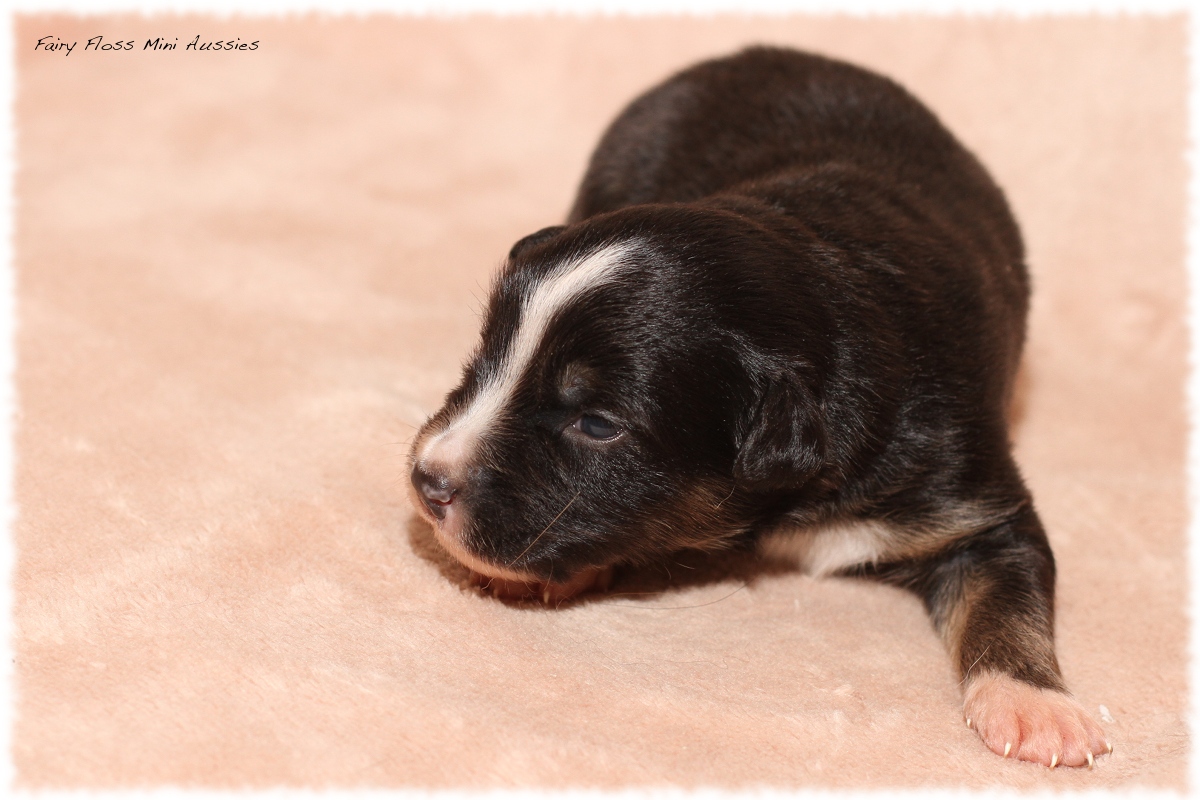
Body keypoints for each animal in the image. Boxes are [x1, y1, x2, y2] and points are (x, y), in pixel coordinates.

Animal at [408, 48, 1108, 767]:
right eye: (486, 355)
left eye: (597, 424)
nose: (426, 481)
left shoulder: (975, 497)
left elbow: (1009, 593)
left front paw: (1035, 705)